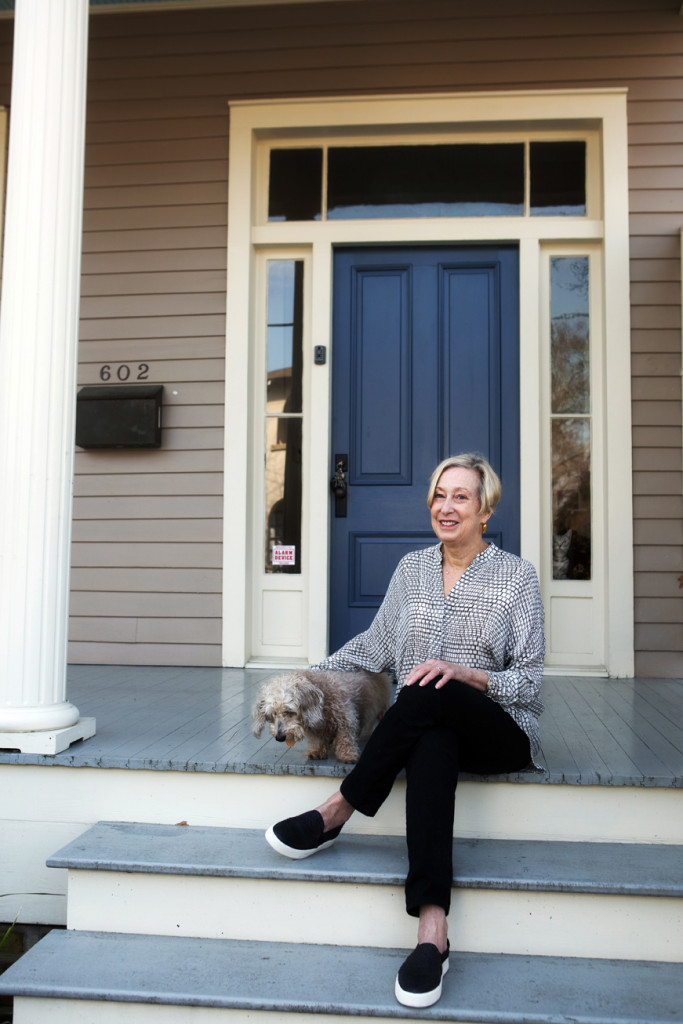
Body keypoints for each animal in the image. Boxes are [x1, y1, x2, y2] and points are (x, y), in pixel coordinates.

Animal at [250, 671, 393, 761]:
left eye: (289, 711)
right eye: (272, 714)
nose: (279, 737)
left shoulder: (346, 718)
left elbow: (345, 737)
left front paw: (347, 755)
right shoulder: (315, 728)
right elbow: (318, 739)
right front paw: (317, 752)